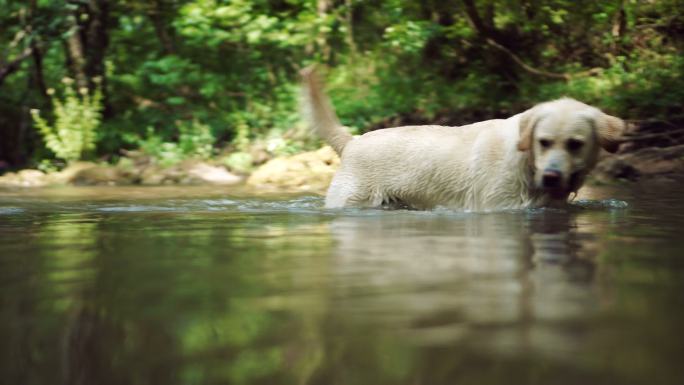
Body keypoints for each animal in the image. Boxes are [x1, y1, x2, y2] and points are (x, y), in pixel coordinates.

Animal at [300, 67, 624, 210]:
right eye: (543, 142)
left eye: (575, 144)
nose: (552, 176)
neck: (526, 162)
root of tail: (352, 141)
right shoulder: (497, 208)